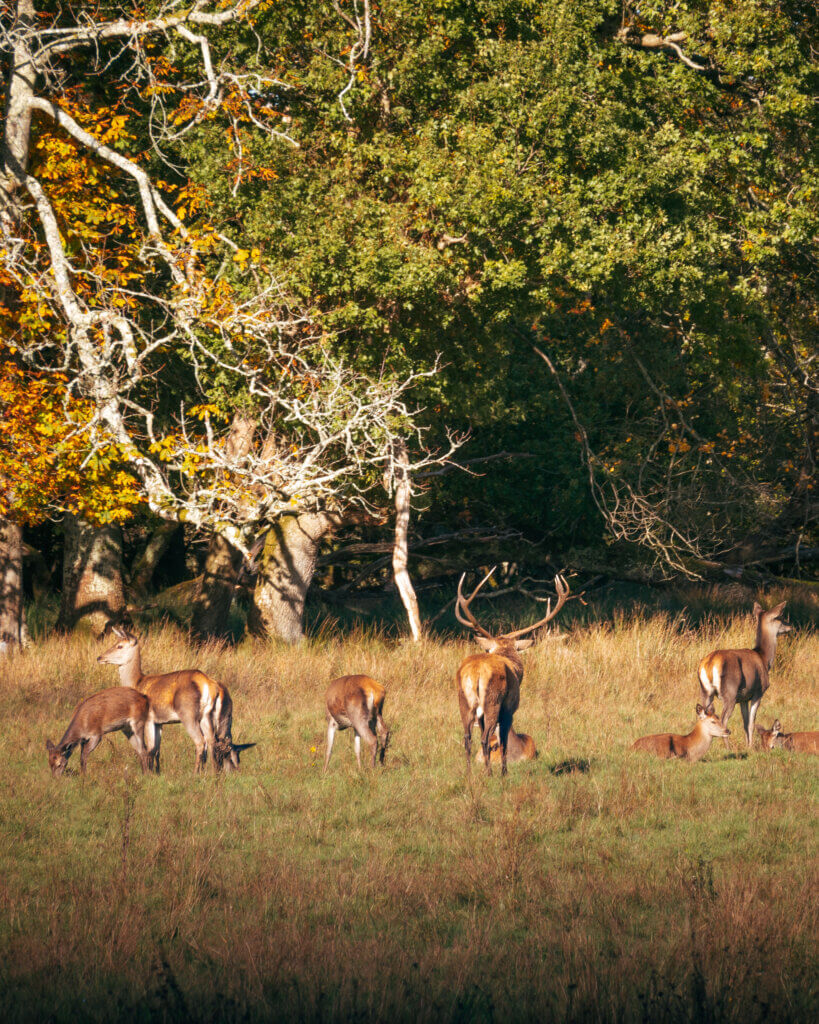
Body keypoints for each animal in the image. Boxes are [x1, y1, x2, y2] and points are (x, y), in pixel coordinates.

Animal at [98, 622, 239, 774]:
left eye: (120, 646)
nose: (99, 657)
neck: (137, 682)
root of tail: (211, 685)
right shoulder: (160, 722)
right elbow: (157, 750)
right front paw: (157, 772)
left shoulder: (148, 719)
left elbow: (149, 749)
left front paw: (148, 773)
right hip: (210, 717)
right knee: (213, 741)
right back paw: (214, 773)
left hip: (188, 714)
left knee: (201, 742)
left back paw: (196, 773)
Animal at [454, 569, 569, 774]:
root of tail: (475, 672)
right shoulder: (511, 705)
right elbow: (504, 742)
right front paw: (504, 772)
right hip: (492, 701)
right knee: (485, 738)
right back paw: (490, 773)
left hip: (464, 701)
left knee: (467, 737)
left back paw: (469, 774)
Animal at [696, 598, 794, 753]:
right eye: (779, 617)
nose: (790, 626)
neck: (764, 658)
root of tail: (710, 663)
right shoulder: (758, 692)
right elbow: (751, 723)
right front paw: (751, 747)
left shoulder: (743, 698)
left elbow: (745, 722)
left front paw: (748, 745)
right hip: (729, 692)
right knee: (723, 720)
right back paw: (728, 748)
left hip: (706, 691)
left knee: (704, 716)